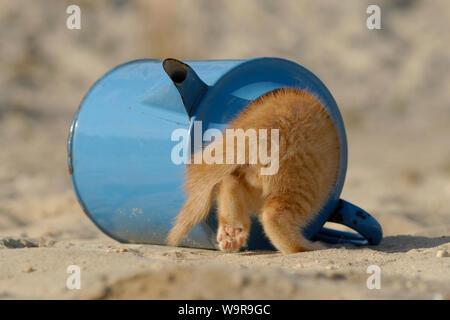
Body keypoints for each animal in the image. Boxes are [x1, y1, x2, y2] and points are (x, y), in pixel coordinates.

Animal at [167, 87, 340, 252]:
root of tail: (257, 131)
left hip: (254, 181)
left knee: (229, 181)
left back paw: (232, 231)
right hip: (304, 185)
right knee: (272, 217)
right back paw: (308, 247)